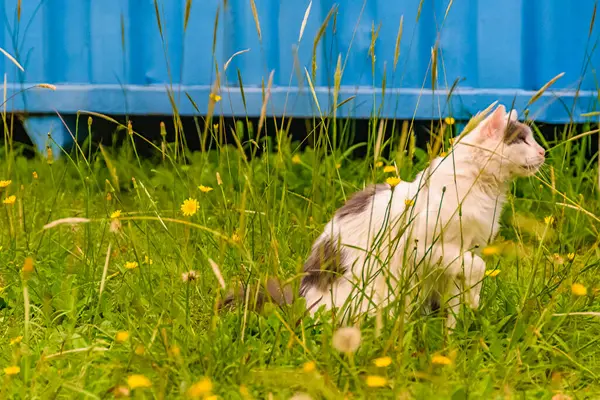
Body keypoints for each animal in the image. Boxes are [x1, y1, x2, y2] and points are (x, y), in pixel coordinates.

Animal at [300, 104, 544, 326]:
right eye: (522, 140)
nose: (543, 151)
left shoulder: (462, 256)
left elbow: (456, 303)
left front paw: (454, 336)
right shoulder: (426, 247)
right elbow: (478, 266)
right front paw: (474, 299)